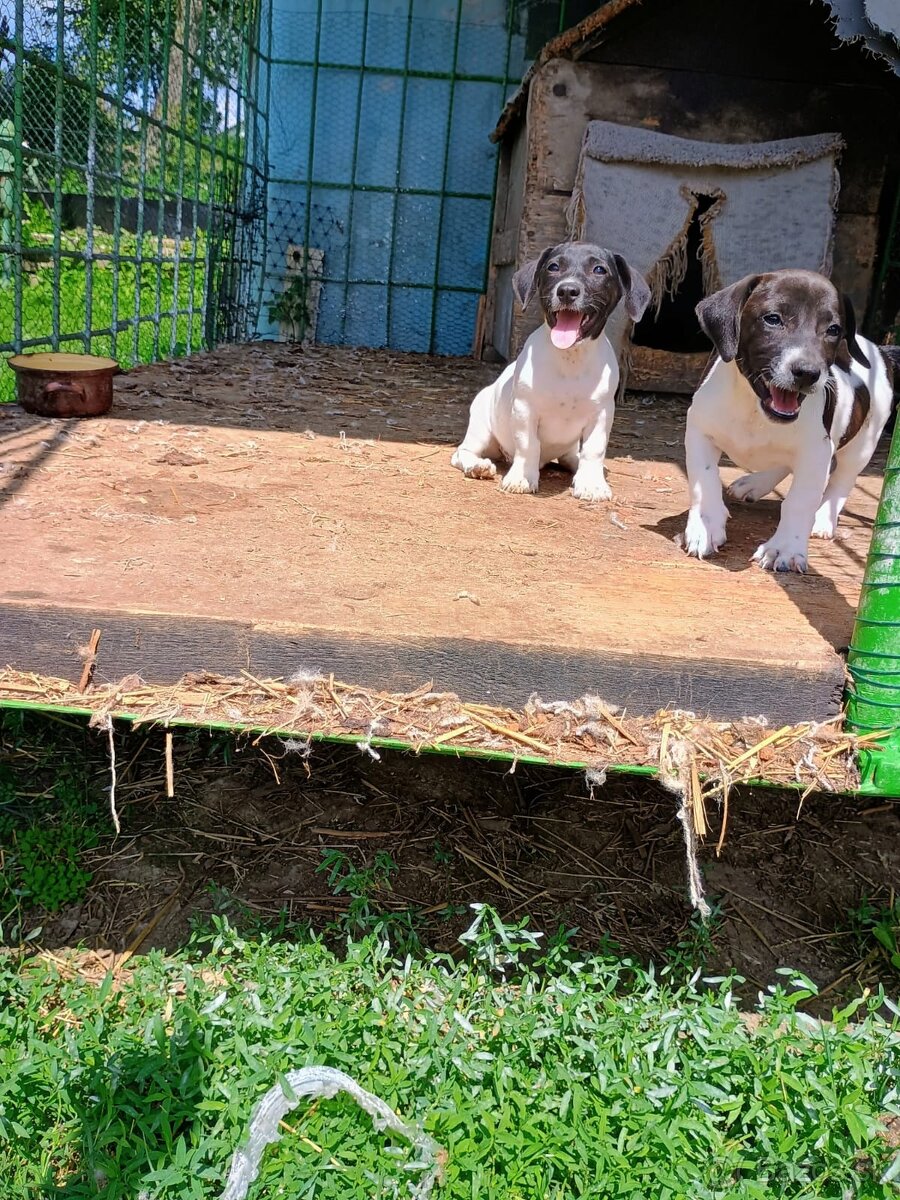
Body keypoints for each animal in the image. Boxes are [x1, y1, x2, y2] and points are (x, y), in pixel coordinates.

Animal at [453, 241, 652, 504]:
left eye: (599, 269)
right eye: (553, 267)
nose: (567, 290)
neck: (570, 360)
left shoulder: (602, 415)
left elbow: (594, 450)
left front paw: (591, 483)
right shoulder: (525, 410)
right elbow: (529, 445)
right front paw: (522, 478)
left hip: (568, 448)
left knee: (573, 458)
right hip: (481, 430)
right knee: (462, 452)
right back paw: (478, 466)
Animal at [681, 272, 897, 571]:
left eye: (833, 329)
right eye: (773, 319)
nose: (808, 373)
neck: (754, 409)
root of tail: (881, 351)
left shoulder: (816, 452)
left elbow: (799, 501)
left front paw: (784, 548)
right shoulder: (699, 429)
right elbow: (704, 480)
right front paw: (705, 526)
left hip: (863, 443)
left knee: (842, 480)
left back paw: (823, 518)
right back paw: (754, 484)